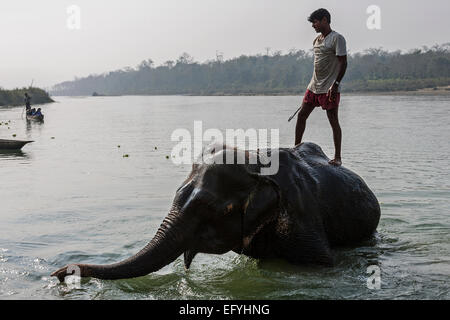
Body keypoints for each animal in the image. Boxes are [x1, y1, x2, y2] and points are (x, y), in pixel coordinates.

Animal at [51, 141, 380, 282]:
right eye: (178, 194)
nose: (62, 272)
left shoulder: (301, 215)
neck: (255, 160)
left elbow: (320, 263)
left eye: (209, 208)